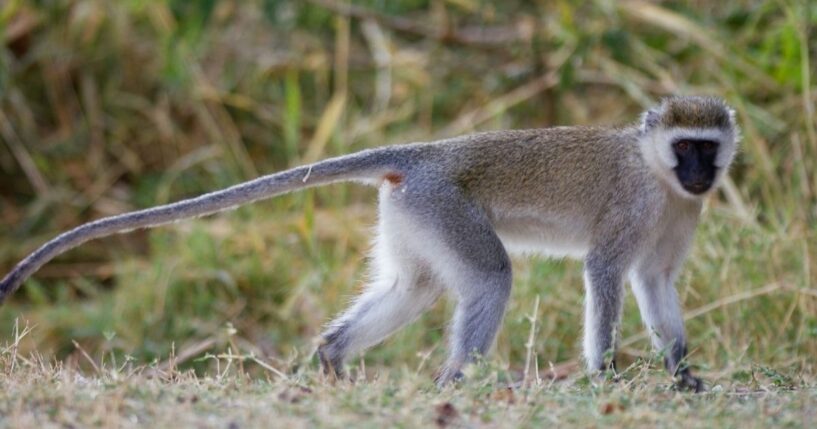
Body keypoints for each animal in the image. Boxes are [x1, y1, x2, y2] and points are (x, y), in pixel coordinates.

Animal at [0, 96, 738, 391]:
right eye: (684, 147)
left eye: (706, 148)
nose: (701, 175)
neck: (657, 174)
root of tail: (425, 155)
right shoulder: (633, 205)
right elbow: (606, 270)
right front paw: (604, 373)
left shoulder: (680, 214)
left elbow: (656, 282)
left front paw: (681, 373)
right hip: (442, 204)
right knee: (490, 277)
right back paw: (456, 383)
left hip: (413, 213)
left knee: (416, 285)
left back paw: (333, 359)